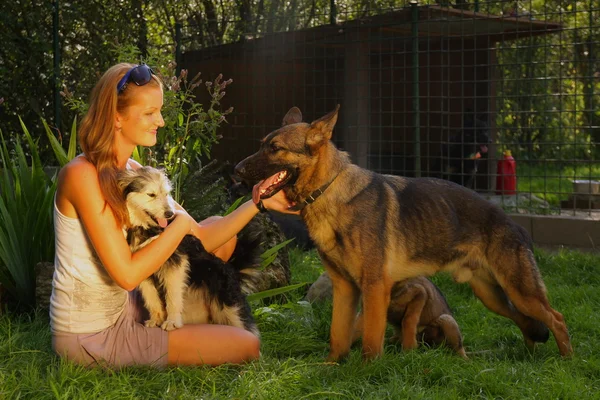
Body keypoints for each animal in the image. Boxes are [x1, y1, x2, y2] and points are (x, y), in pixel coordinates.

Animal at [118, 166, 262, 338]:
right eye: (151, 194)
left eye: (167, 194)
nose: (170, 214)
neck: (148, 229)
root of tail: (232, 270)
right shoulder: (143, 271)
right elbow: (151, 297)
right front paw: (156, 319)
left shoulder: (176, 264)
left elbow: (172, 295)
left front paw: (172, 321)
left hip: (231, 309)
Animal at [234, 105, 572, 360]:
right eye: (262, 144)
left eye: (275, 148)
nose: (236, 170)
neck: (329, 191)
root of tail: (515, 224)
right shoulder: (344, 289)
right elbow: (337, 336)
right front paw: (331, 367)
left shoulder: (374, 289)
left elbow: (371, 339)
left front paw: (366, 371)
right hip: (493, 296)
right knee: (527, 323)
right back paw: (529, 355)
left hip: (520, 292)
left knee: (556, 318)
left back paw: (565, 361)